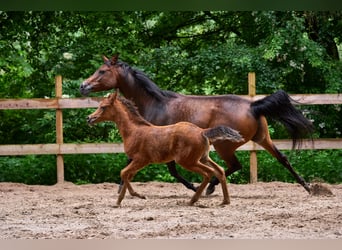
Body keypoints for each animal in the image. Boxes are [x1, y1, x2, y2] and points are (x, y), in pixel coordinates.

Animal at [87, 91, 243, 206]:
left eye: (103, 106)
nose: (89, 118)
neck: (133, 130)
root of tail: (202, 132)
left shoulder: (141, 160)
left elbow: (124, 173)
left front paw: (139, 195)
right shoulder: (137, 161)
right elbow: (127, 175)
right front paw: (119, 201)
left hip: (188, 161)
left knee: (208, 173)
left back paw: (193, 200)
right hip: (203, 158)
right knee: (220, 171)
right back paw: (225, 200)